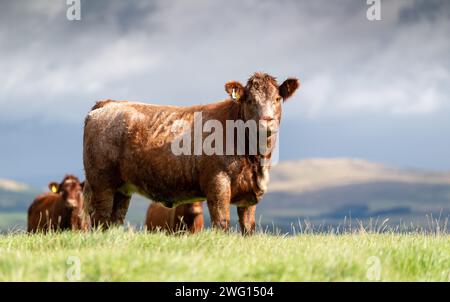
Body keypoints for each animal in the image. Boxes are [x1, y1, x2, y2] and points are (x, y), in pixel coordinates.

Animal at [82, 72, 300, 235]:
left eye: (277, 98)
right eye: (249, 100)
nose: (267, 121)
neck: (255, 159)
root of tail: (108, 103)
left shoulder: (249, 193)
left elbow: (248, 227)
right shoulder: (217, 182)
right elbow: (222, 222)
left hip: (122, 188)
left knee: (115, 218)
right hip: (101, 182)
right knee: (100, 217)